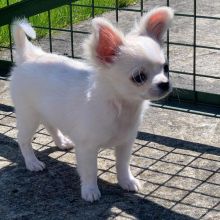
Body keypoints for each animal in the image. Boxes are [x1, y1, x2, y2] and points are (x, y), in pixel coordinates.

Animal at [10, 6, 174, 202]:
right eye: (139, 77)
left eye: (165, 68)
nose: (165, 84)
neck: (121, 106)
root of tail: (29, 56)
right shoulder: (87, 148)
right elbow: (90, 171)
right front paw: (90, 190)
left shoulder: (125, 143)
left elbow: (123, 165)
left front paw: (127, 182)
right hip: (28, 116)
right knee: (23, 139)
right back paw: (32, 162)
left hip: (47, 111)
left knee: (50, 126)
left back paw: (61, 142)